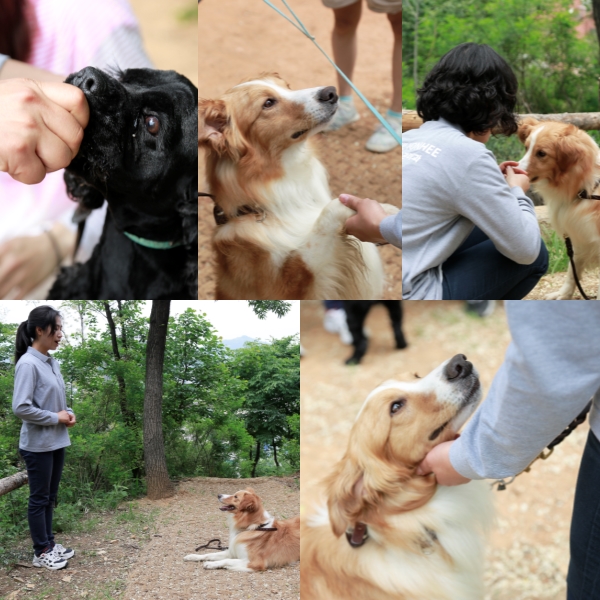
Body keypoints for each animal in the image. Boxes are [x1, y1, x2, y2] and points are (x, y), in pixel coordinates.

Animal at [199, 75, 400, 300]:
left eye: (287, 87)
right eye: (268, 103)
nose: (331, 92)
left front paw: (385, 211)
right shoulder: (285, 290)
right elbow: (327, 214)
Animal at [516, 116, 600, 300]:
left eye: (541, 153)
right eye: (526, 147)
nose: (515, 169)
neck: (587, 189)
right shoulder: (578, 235)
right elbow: (572, 271)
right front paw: (563, 294)